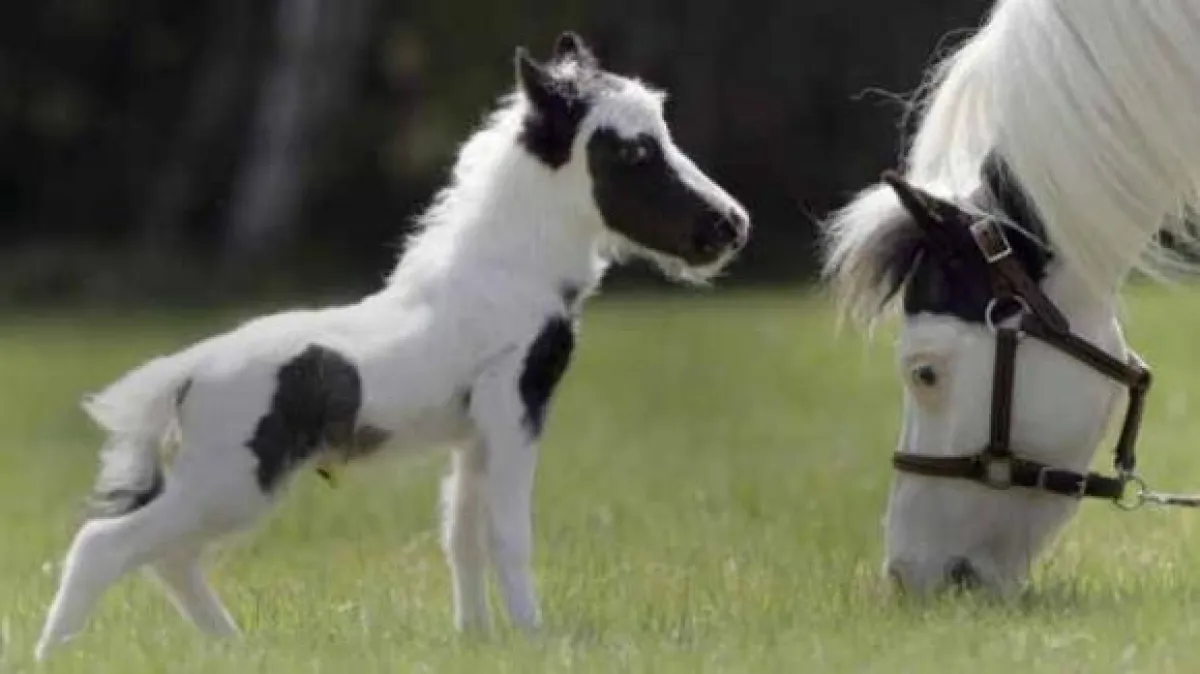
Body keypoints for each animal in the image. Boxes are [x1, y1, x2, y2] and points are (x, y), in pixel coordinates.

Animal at [34, 32, 749, 659]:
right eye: (633, 153)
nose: (731, 225)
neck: (504, 272)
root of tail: (185, 373)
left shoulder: (474, 433)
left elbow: (462, 535)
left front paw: (478, 638)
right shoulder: (514, 408)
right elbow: (507, 533)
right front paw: (534, 638)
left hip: (222, 485)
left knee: (169, 559)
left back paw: (236, 648)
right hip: (232, 480)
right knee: (105, 544)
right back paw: (56, 654)